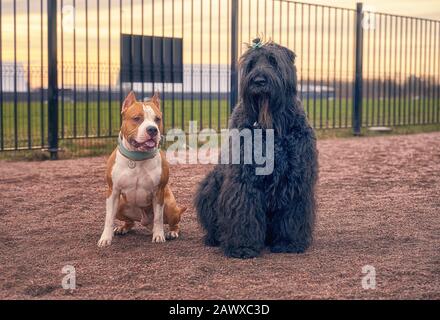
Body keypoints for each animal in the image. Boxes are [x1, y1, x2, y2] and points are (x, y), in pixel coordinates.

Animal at [98, 91, 186, 246]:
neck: (137, 158)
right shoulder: (113, 192)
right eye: (137, 118)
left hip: (170, 205)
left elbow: (158, 218)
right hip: (121, 205)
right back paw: (122, 228)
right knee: (131, 222)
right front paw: (105, 238)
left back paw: (172, 232)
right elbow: (108, 218)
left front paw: (158, 235)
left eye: (157, 119)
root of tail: (144, 221)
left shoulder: (158, 192)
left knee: (173, 223)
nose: (152, 129)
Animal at [193, 40, 316, 260]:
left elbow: (292, 212)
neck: (272, 125)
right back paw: (213, 237)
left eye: (273, 61)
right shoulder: (244, 178)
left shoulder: (295, 176)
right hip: (210, 184)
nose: (258, 80)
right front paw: (243, 246)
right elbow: (244, 210)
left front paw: (289, 242)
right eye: (251, 64)